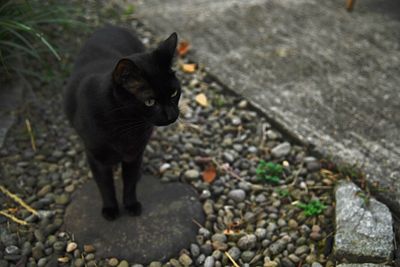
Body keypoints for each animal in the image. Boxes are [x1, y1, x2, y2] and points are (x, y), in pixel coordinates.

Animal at [64, 26, 181, 221]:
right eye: (150, 101)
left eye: (174, 93)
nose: (171, 115)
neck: (126, 125)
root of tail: (110, 26)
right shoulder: (96, 157)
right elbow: (105, 185)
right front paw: (110, 209)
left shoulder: (134, 153)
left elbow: (130, 182)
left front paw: (131, 205)